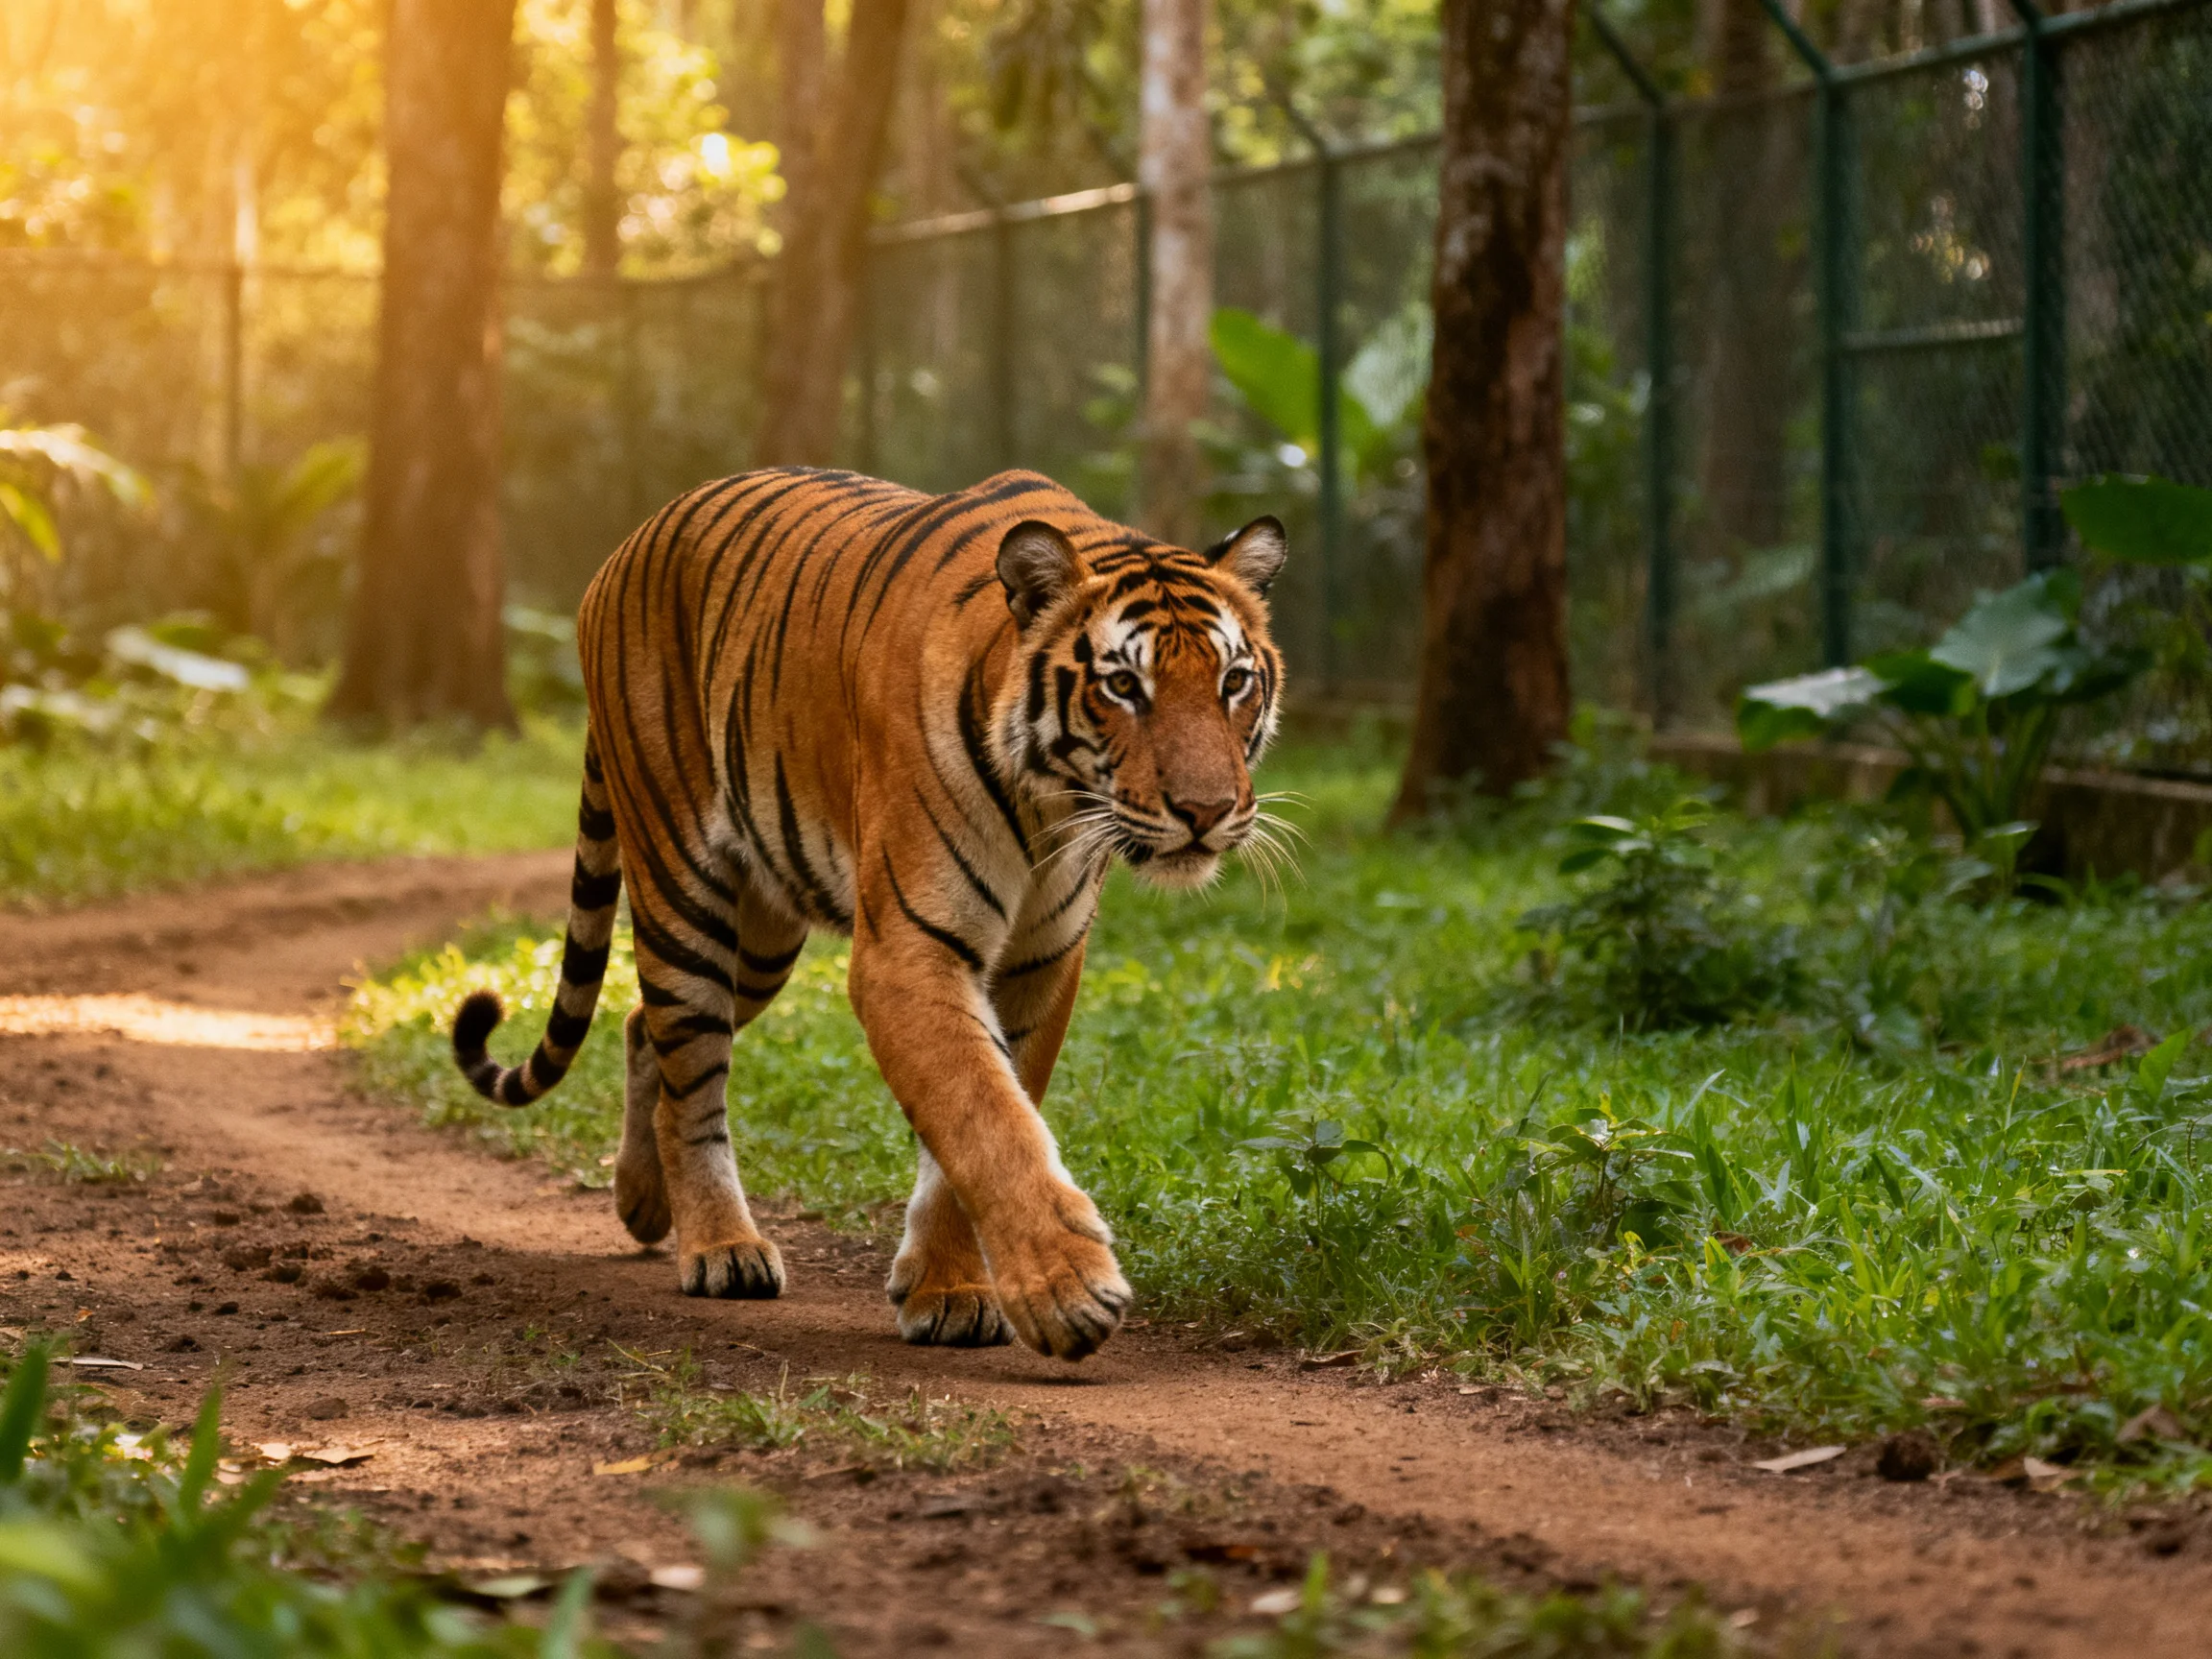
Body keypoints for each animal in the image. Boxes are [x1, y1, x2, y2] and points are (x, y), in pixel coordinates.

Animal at [451, 467, 1287, 1361]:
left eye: (1234, 682)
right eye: (1123, 685)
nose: (1207, 811)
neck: (1049, 807)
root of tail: (629, 543)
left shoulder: (1039, 962)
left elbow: (978, 1119)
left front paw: (947, 1289)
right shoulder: (909, 952)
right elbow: (985, 1117)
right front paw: (1067, 1292)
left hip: (762, 936)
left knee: (649, 1030)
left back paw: (644, 1203)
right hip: (682, 885)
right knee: (692, 1063)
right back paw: (720, 1246)